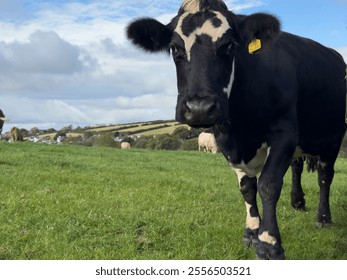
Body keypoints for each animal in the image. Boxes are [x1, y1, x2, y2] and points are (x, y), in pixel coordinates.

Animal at [127, 0, 346, 260]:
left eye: (229, 46)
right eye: (174, 48)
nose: (199, 108)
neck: (242, 128)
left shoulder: (284, 132)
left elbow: (269, 184)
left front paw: (269, 243)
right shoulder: (226, 140)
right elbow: (247, 188)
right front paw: (251, 233)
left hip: (333, 137)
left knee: (325, 176)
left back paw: (323, 218)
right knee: (297, 166)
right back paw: (298, 202)